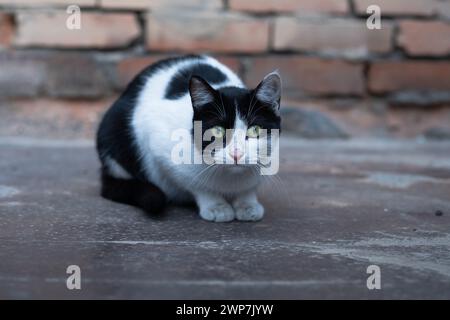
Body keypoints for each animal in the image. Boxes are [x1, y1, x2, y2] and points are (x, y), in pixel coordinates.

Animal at [96, 55, 282, 222]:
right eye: (218, 130)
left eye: (254, 129)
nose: (236, 153)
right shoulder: (157, 139)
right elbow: (195, 183)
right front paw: (216, 206)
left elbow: (249, 188)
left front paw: (247, 204)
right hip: (113, 130)